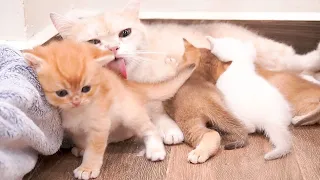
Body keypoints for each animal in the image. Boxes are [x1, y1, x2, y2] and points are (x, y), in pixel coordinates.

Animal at [22, 39, 195, 180]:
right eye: (62, 93)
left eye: (86, 89)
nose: (76, 101)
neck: (77, 112)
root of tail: (129, 84)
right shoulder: (72, 128)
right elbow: (80, 139)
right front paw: (82, 148)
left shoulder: (100, 125)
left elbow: (94, 150)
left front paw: (87, 168)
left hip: (130, 114)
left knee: (150, 129)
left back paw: (155, 150)